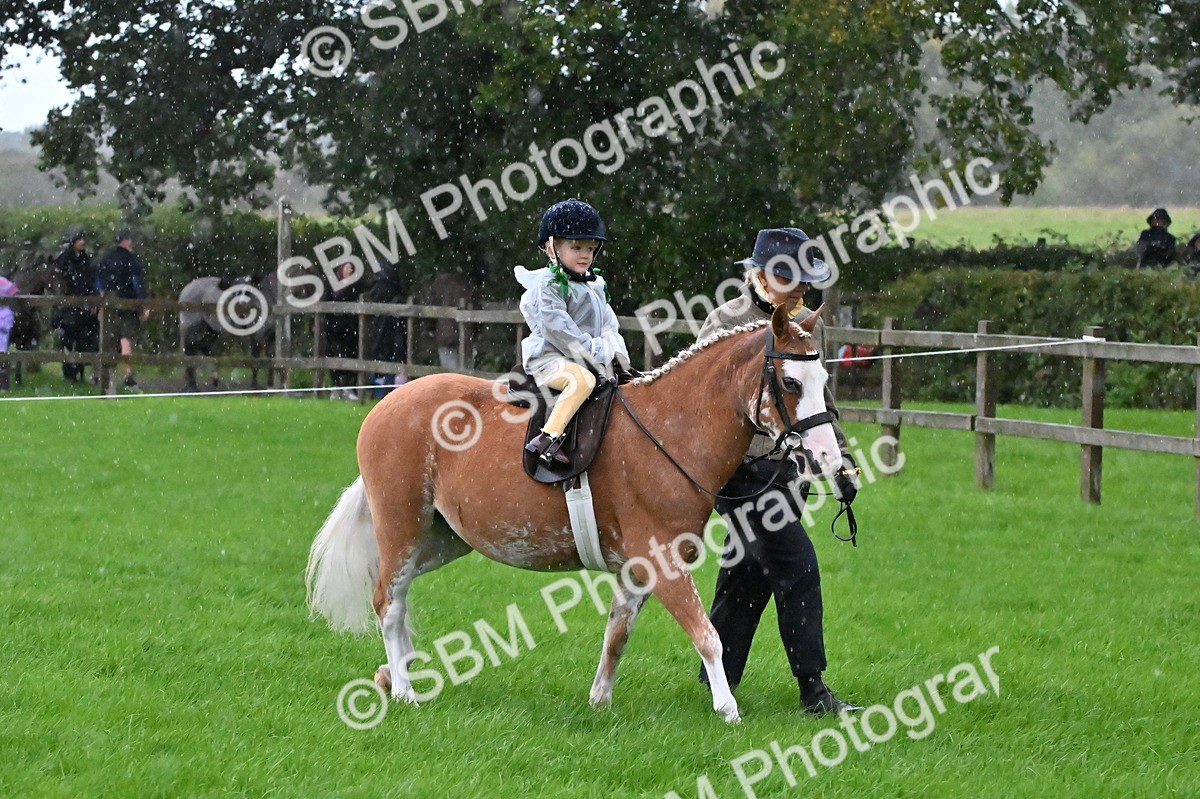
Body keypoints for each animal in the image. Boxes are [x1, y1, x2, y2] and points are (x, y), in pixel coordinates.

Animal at [305, 305, 842, 723]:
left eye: (824, 380)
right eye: (791, 382)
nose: (827, 459)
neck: (671, 429)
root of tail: (389, 403)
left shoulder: (637, 570)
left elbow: (617, 634)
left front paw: (599, 701)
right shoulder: (663, 562)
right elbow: (708, 636)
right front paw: (727, 709)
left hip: (441, 540)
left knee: (392, 592)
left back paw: (392, 673)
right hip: (404, 528)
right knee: (389, 602)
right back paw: (404, 691)